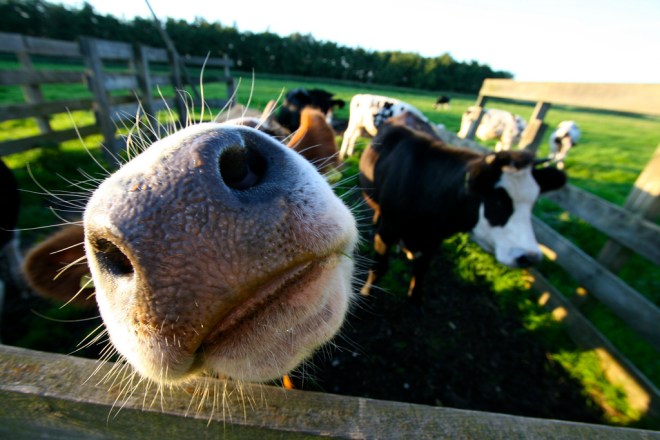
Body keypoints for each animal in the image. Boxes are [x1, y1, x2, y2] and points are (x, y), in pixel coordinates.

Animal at [359, 114, 566, 301]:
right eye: (497, 200)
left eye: (533, 203)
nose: (530, 257)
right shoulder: (387, 231)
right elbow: (379, 267)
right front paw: (366, 294)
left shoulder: (434, 241)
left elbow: (420, 273)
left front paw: (414, 299)